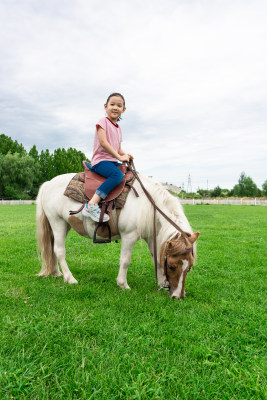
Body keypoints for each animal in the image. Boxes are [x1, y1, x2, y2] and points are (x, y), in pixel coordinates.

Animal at [36, 173, 199, 298]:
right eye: (172, 266)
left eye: (189, 267)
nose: (178, 296)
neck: (148, 205)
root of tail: (48, 184)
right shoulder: (129, 236)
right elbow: (125, 261)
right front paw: (123, 285)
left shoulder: (152, 237)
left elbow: (157, 260)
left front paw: (160, 284)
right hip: (57, 222)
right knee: (59, 251)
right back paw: (70, 278)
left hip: (64, 225)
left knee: (53, 249)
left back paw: (57, 273)